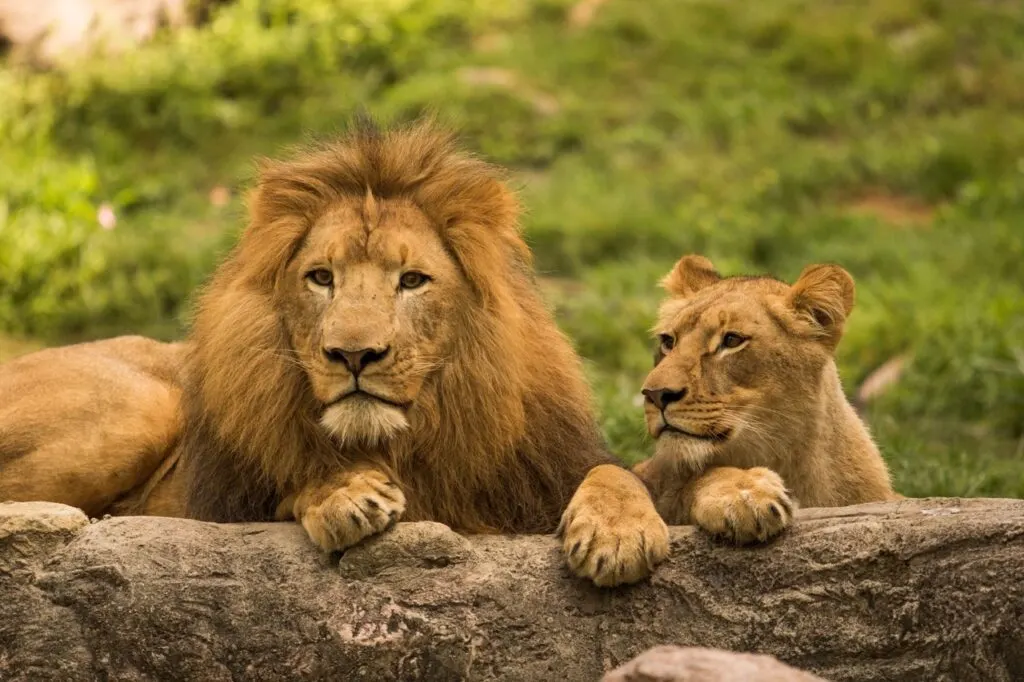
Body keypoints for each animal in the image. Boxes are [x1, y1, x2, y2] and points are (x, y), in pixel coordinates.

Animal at [0, 118, 667, 585]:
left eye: (412, 280)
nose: (353, 354)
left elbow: (617, 472)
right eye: (322, 278)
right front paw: (346, 493)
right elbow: (294, 481)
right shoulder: (227, 501)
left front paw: (617, 535)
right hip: (140, 408)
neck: (408, 441)